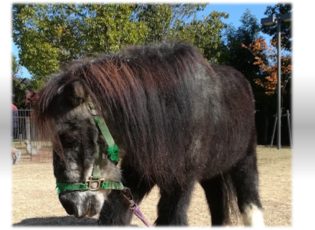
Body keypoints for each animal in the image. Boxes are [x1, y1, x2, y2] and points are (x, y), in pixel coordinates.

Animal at [33, 42, 266, 226]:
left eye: (69, 138)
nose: (69, 205)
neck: (169, 112)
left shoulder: (180, 184)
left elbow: (171, 219)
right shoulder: (138, 174)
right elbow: (115, 214)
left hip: (245, 161)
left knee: (250, 203)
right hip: (212, 175)